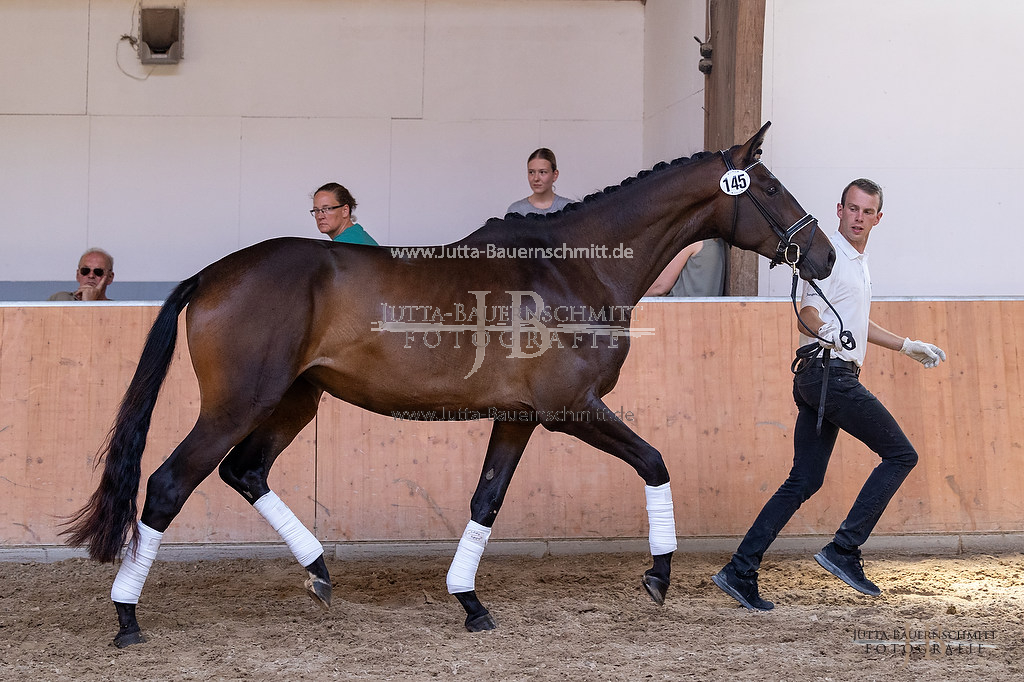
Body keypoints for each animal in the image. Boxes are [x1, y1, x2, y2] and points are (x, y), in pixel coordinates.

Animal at [61, 119, 831, 647]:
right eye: (768, 186)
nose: (821, 254)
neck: (571, 269)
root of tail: (212, 274)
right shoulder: (571, 409)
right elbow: (655, 462)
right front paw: (659, 576)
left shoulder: (519, 417)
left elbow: (486, 500)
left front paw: (470, 602)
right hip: (236, 404)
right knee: (168, 484)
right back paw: (127, 616)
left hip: (295, 400)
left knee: (245, 472)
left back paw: (319, 572)